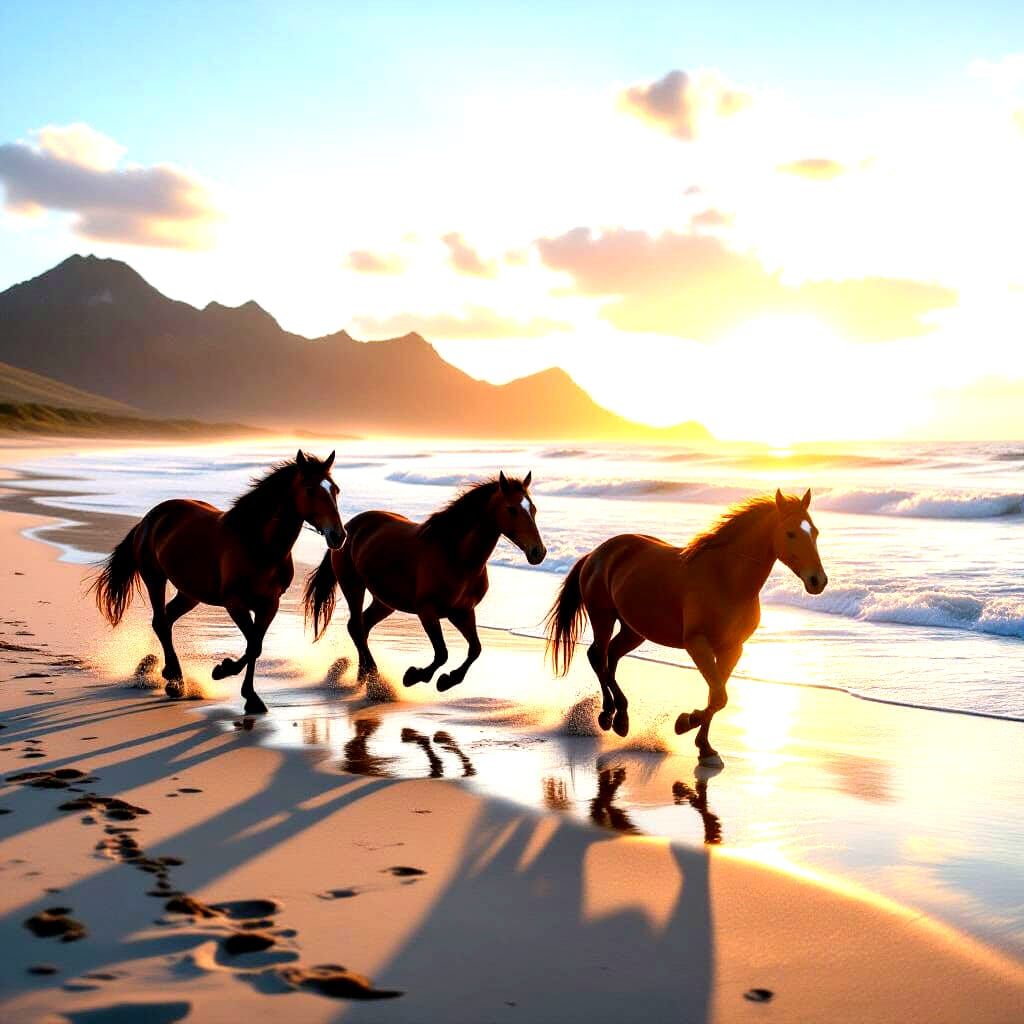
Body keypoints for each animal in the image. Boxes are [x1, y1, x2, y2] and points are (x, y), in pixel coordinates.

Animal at [91, 450, 345, 715]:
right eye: (310, 489)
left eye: (335, 490)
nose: (338, 536)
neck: (258, 545)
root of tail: (150, 518)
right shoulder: (235, 604)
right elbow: (253, 645)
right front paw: (224, 672)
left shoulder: (269, 604)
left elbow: (255, 645)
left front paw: (249, 695)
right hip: (155, 578)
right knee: (161, 622)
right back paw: (175, 681)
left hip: (189, 593)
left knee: (166, 620)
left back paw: (169, 675)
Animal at [303, 472, 546, 692]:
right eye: (512, 509)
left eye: (533, 509)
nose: (538, 552)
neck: (455, 555)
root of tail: (347, 528)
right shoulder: (427, 610)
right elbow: (442, 653)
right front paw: (415, 676)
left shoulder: (463, 612)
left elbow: (475, 649)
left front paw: (447, 680)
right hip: (353, 586)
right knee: (357, 625)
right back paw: (373, 679)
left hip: (385, 601)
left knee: (361, 626)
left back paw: (364, 677)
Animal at [545, 489, 827, 765]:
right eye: (790, 533)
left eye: (814, 532)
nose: (818, 581)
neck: (725, 579)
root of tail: (596, 553)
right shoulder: (697, 643)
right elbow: (719, 696)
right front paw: (685, 723)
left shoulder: (732, 649)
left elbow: (716, 695)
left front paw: (704, 747)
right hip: (603, 617)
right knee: (598, 656)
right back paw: (607, 715)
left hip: (634, 630)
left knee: (611, 656)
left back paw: (621, 719)